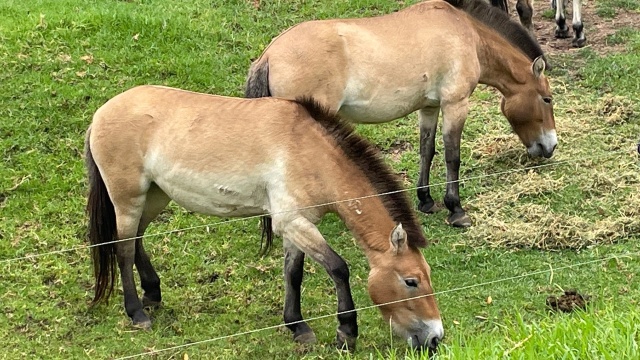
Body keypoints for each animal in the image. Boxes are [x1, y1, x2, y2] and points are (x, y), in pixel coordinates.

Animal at [85, 85, 444, 352]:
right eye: (411, 281)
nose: (435, 337)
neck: (310, 152)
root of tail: (102, 114)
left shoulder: (298, 225)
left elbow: (293, 274)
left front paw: (298, 327)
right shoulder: (293, 223)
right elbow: (338, 268)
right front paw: (346, 332)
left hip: (155, 196)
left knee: (137, 240)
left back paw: (153, 293)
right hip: (128, 200)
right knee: (123, 250)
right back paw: (137, 313)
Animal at [244, 0, 556, 226]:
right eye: (547, 99)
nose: (550, 146)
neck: (465, 33)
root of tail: (269, 55)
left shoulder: (429, 107)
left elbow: (426, 151)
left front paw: (425, 200)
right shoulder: (455, 104)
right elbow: (452, 156)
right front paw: (456, 209)